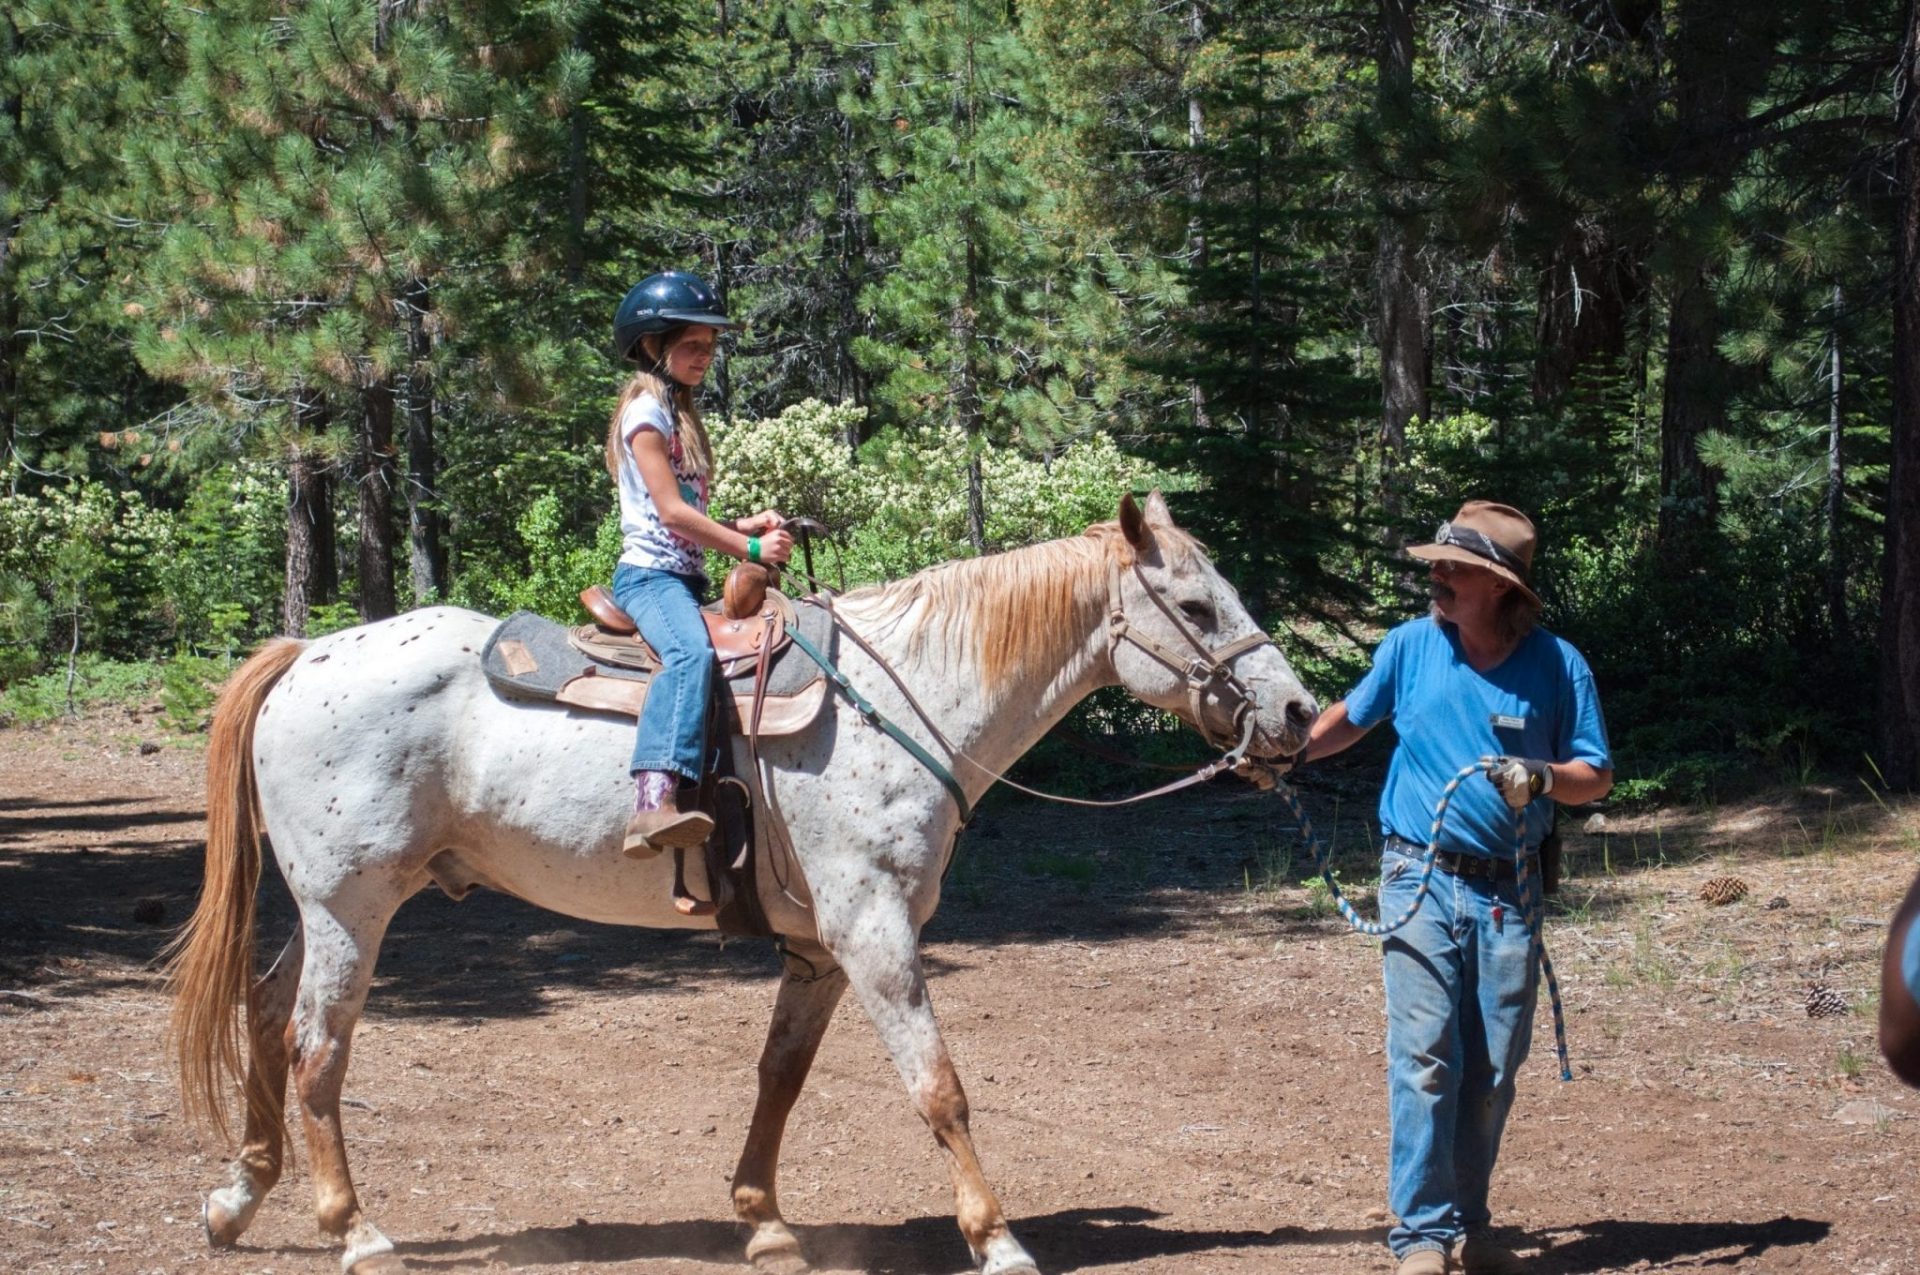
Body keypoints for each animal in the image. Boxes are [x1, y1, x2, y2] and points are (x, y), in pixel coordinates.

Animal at [168, 489, 1320, 1275]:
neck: (908, 700)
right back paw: (355, 1231)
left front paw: (762, 1219)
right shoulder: (874, 931)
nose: (1300, 713)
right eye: (1195, 606)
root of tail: (306, 655)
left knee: (263, 1014)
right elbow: (938, 1085)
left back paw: (238, 1196)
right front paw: (998, 1240)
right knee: (317, 1051)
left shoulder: (818, 946)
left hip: (329, 909)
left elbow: (781, 1075)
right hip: (350, 909)